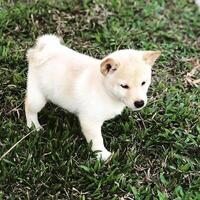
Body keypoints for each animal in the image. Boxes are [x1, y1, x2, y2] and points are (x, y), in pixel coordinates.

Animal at [25, 34, 160, 159]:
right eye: (124, 86)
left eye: (143, 83)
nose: (140, 103)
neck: (104, 90)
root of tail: (43, 49)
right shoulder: (90, 121)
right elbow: (97, 140)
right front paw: (102, 156)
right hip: (37, 98)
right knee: (29, 107)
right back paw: (34, 127)